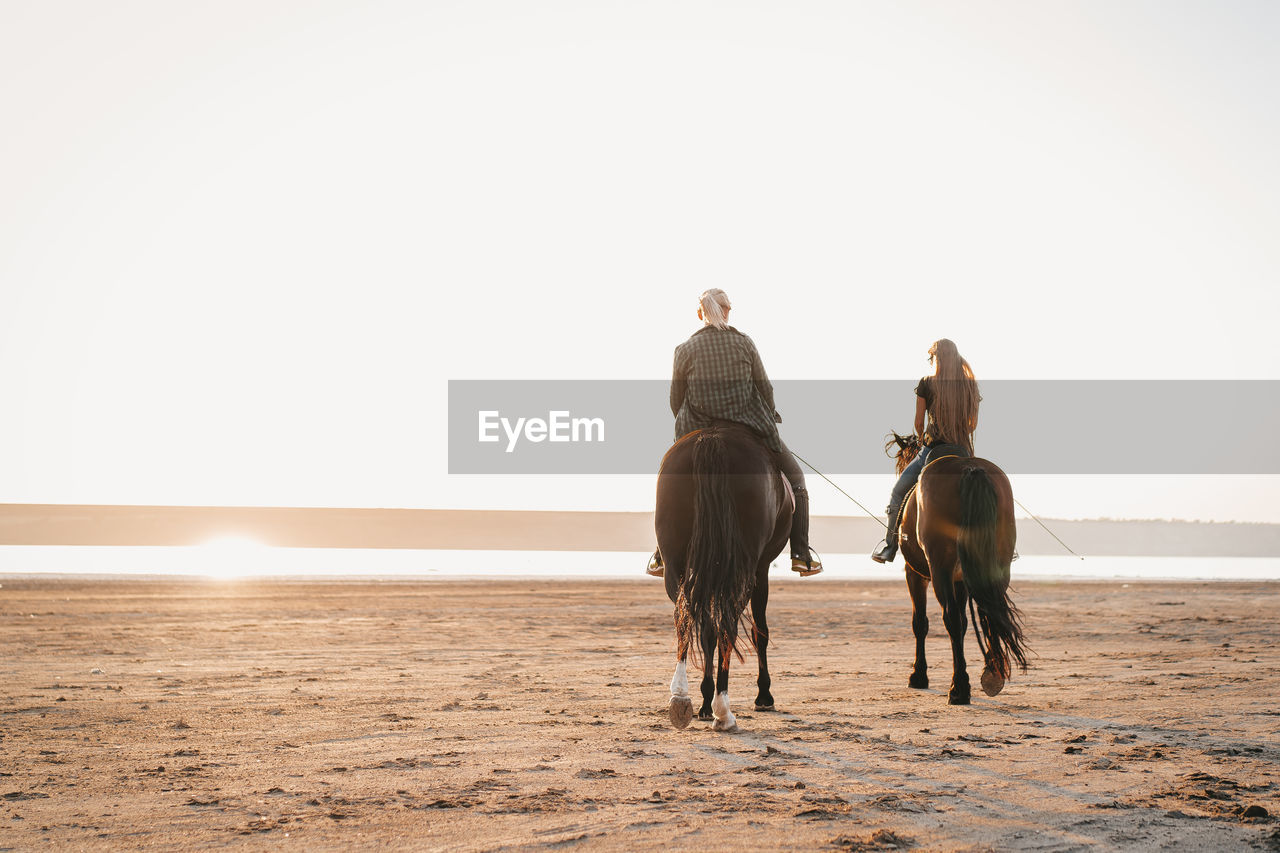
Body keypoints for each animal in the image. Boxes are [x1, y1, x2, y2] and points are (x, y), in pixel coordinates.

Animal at [655, 422, 793, 727]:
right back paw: (723, 708)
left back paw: (683, 697)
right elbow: (760, 631)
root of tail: (713, 439)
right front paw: (764, 695)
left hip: (675, 562)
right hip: (743, 571)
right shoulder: (762, 568)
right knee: (725, 624)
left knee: (688, 618)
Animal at [890, 432, 1029, 701]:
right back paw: (992, 676)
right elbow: (965, 623)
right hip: (996, 564)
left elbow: (920, 622)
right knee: (992, 613)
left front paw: (918, 675)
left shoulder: (914, 574)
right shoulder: (960, 579)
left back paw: (959, 688)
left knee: (951, 618)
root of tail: (971, 470)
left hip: (939, 569)